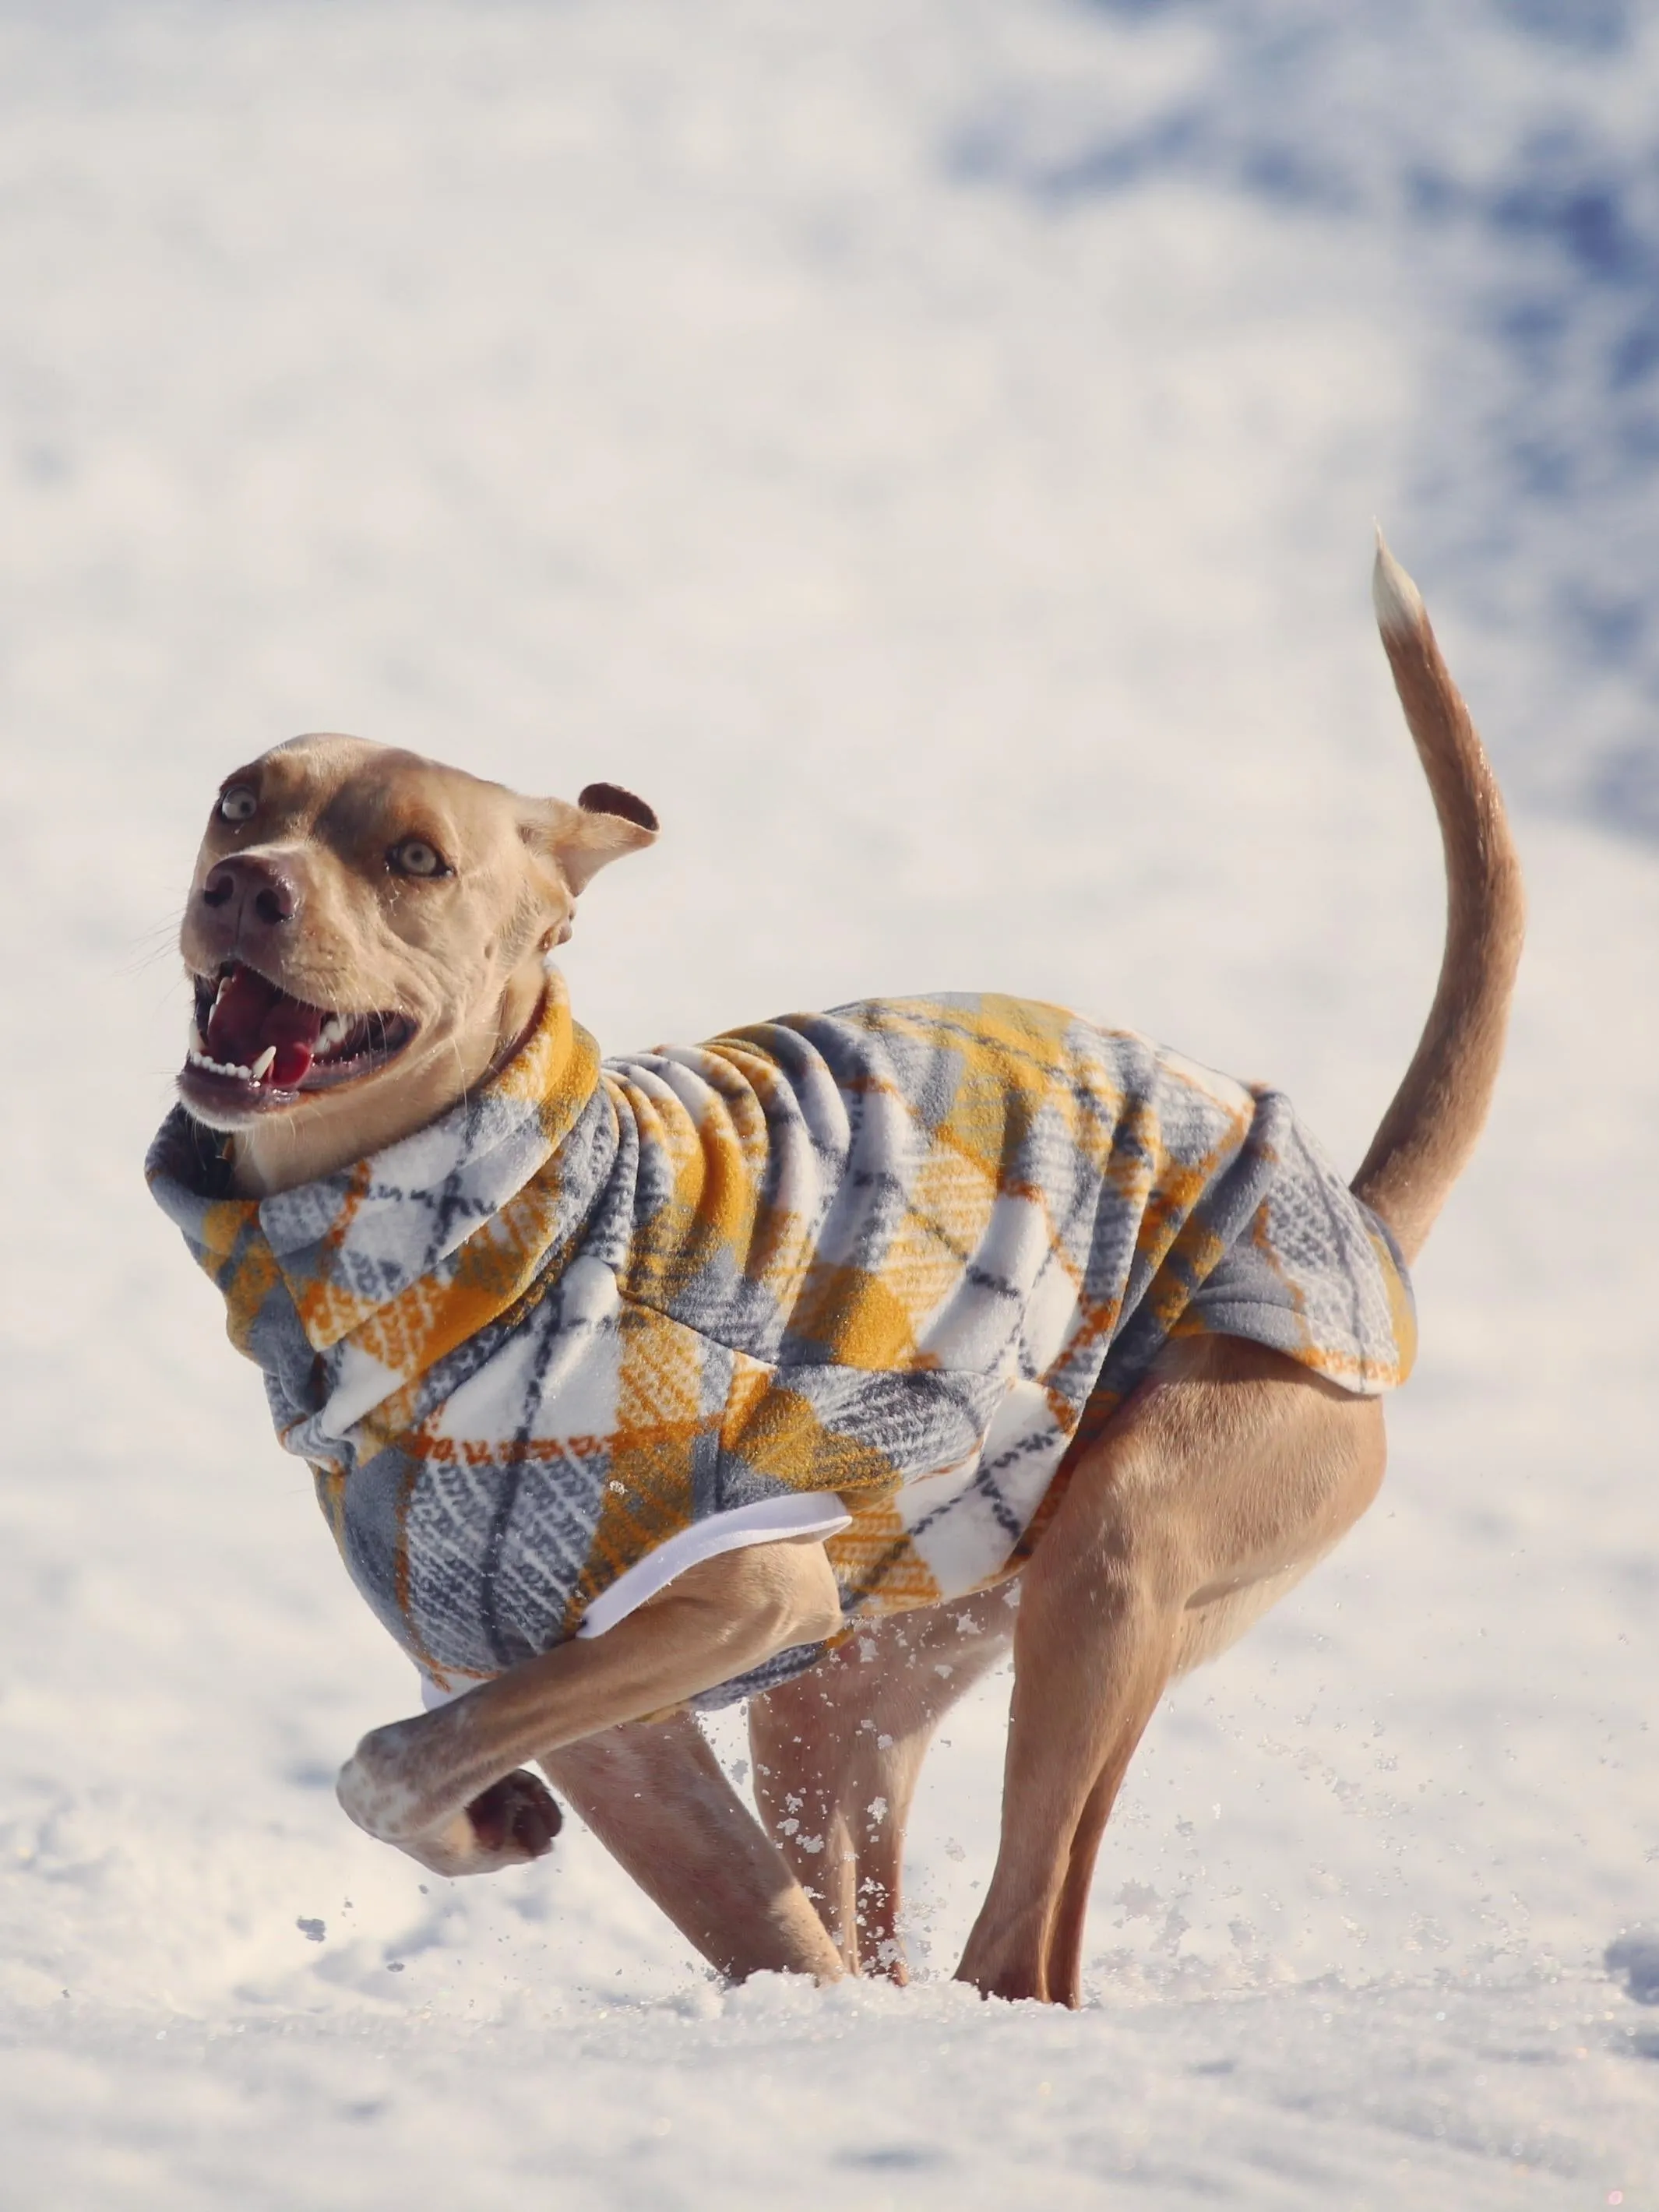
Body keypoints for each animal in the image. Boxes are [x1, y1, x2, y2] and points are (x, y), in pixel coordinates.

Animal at [149, 539, 1530, 2008]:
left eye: (416, 858)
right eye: (241, 801)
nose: (247, 886)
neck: (479, 1238)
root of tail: (1361, 1223)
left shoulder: (752, 1590)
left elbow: (386, 1769)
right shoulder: (578, 1701)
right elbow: (504, 1804)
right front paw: (504, 1817)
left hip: (1120, 1551)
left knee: (1025, 1946)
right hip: (869, 1672)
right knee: (902, 1916)